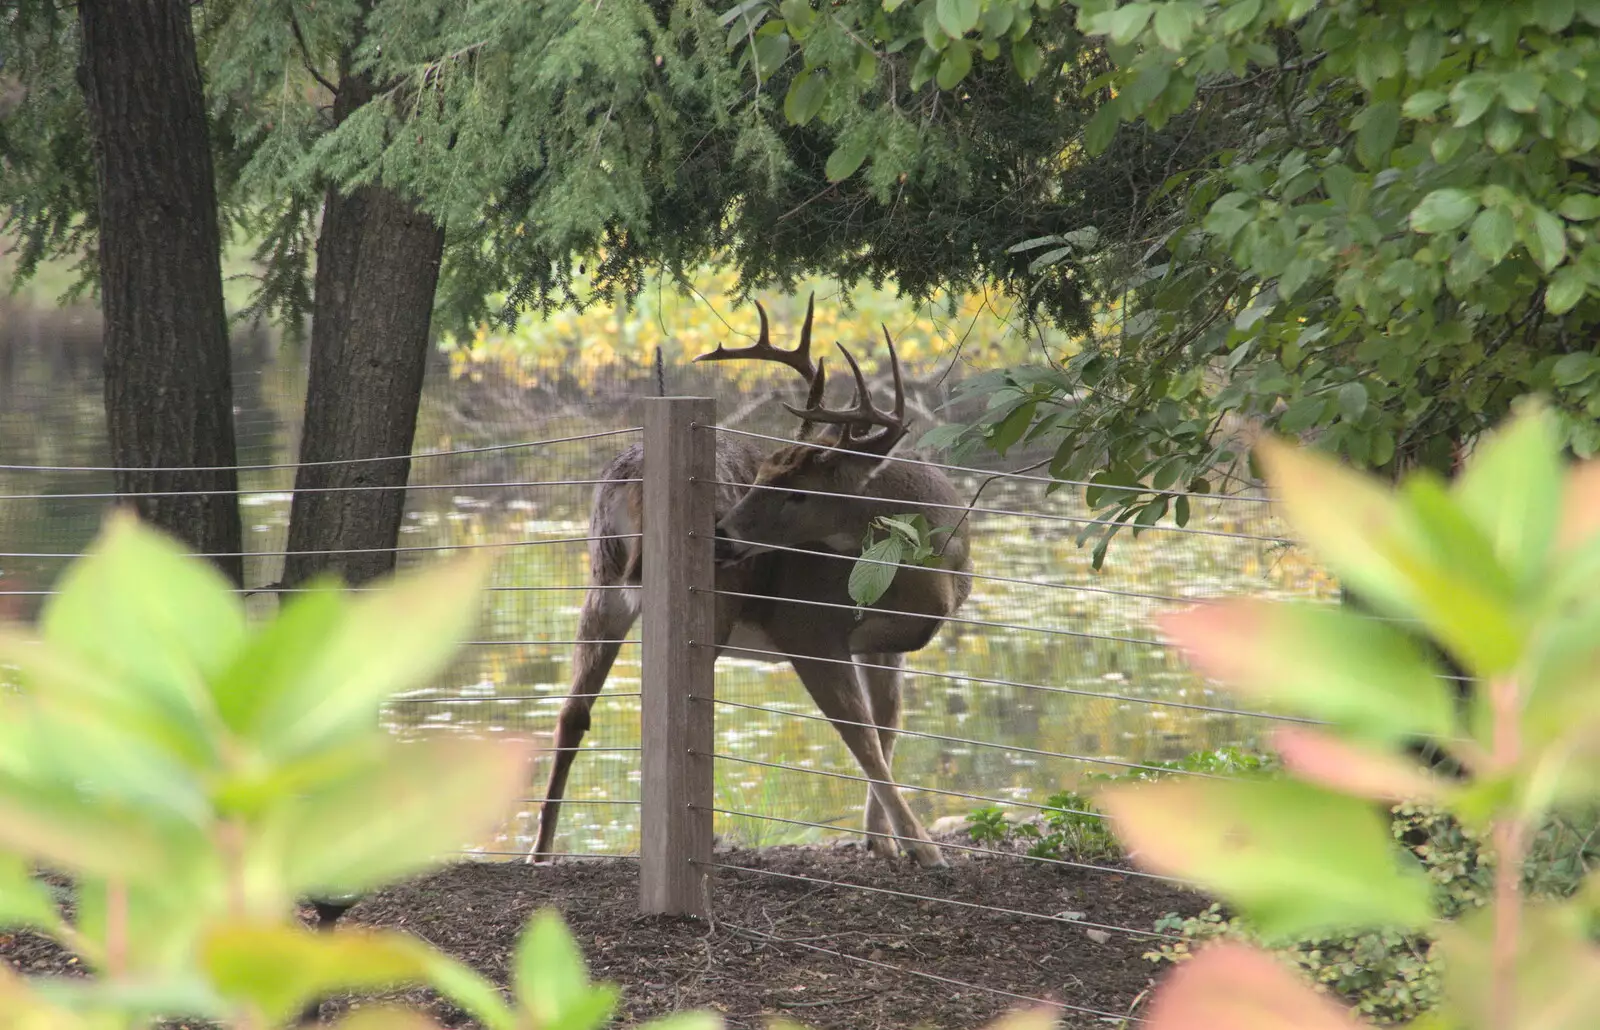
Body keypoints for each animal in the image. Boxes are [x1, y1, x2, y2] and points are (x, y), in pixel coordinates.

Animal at [531, 297, 966, 870]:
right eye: (761, 475)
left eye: (798, 491)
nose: (722, 531)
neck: (931, 584)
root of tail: (631, 475)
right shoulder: (807, 624)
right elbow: (863, 739)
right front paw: (924, 849)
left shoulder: (879, 646)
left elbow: (888, 727)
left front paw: (882, 841)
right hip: (711, 602)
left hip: (603, 582)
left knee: (573, 711)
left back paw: (539, 851)